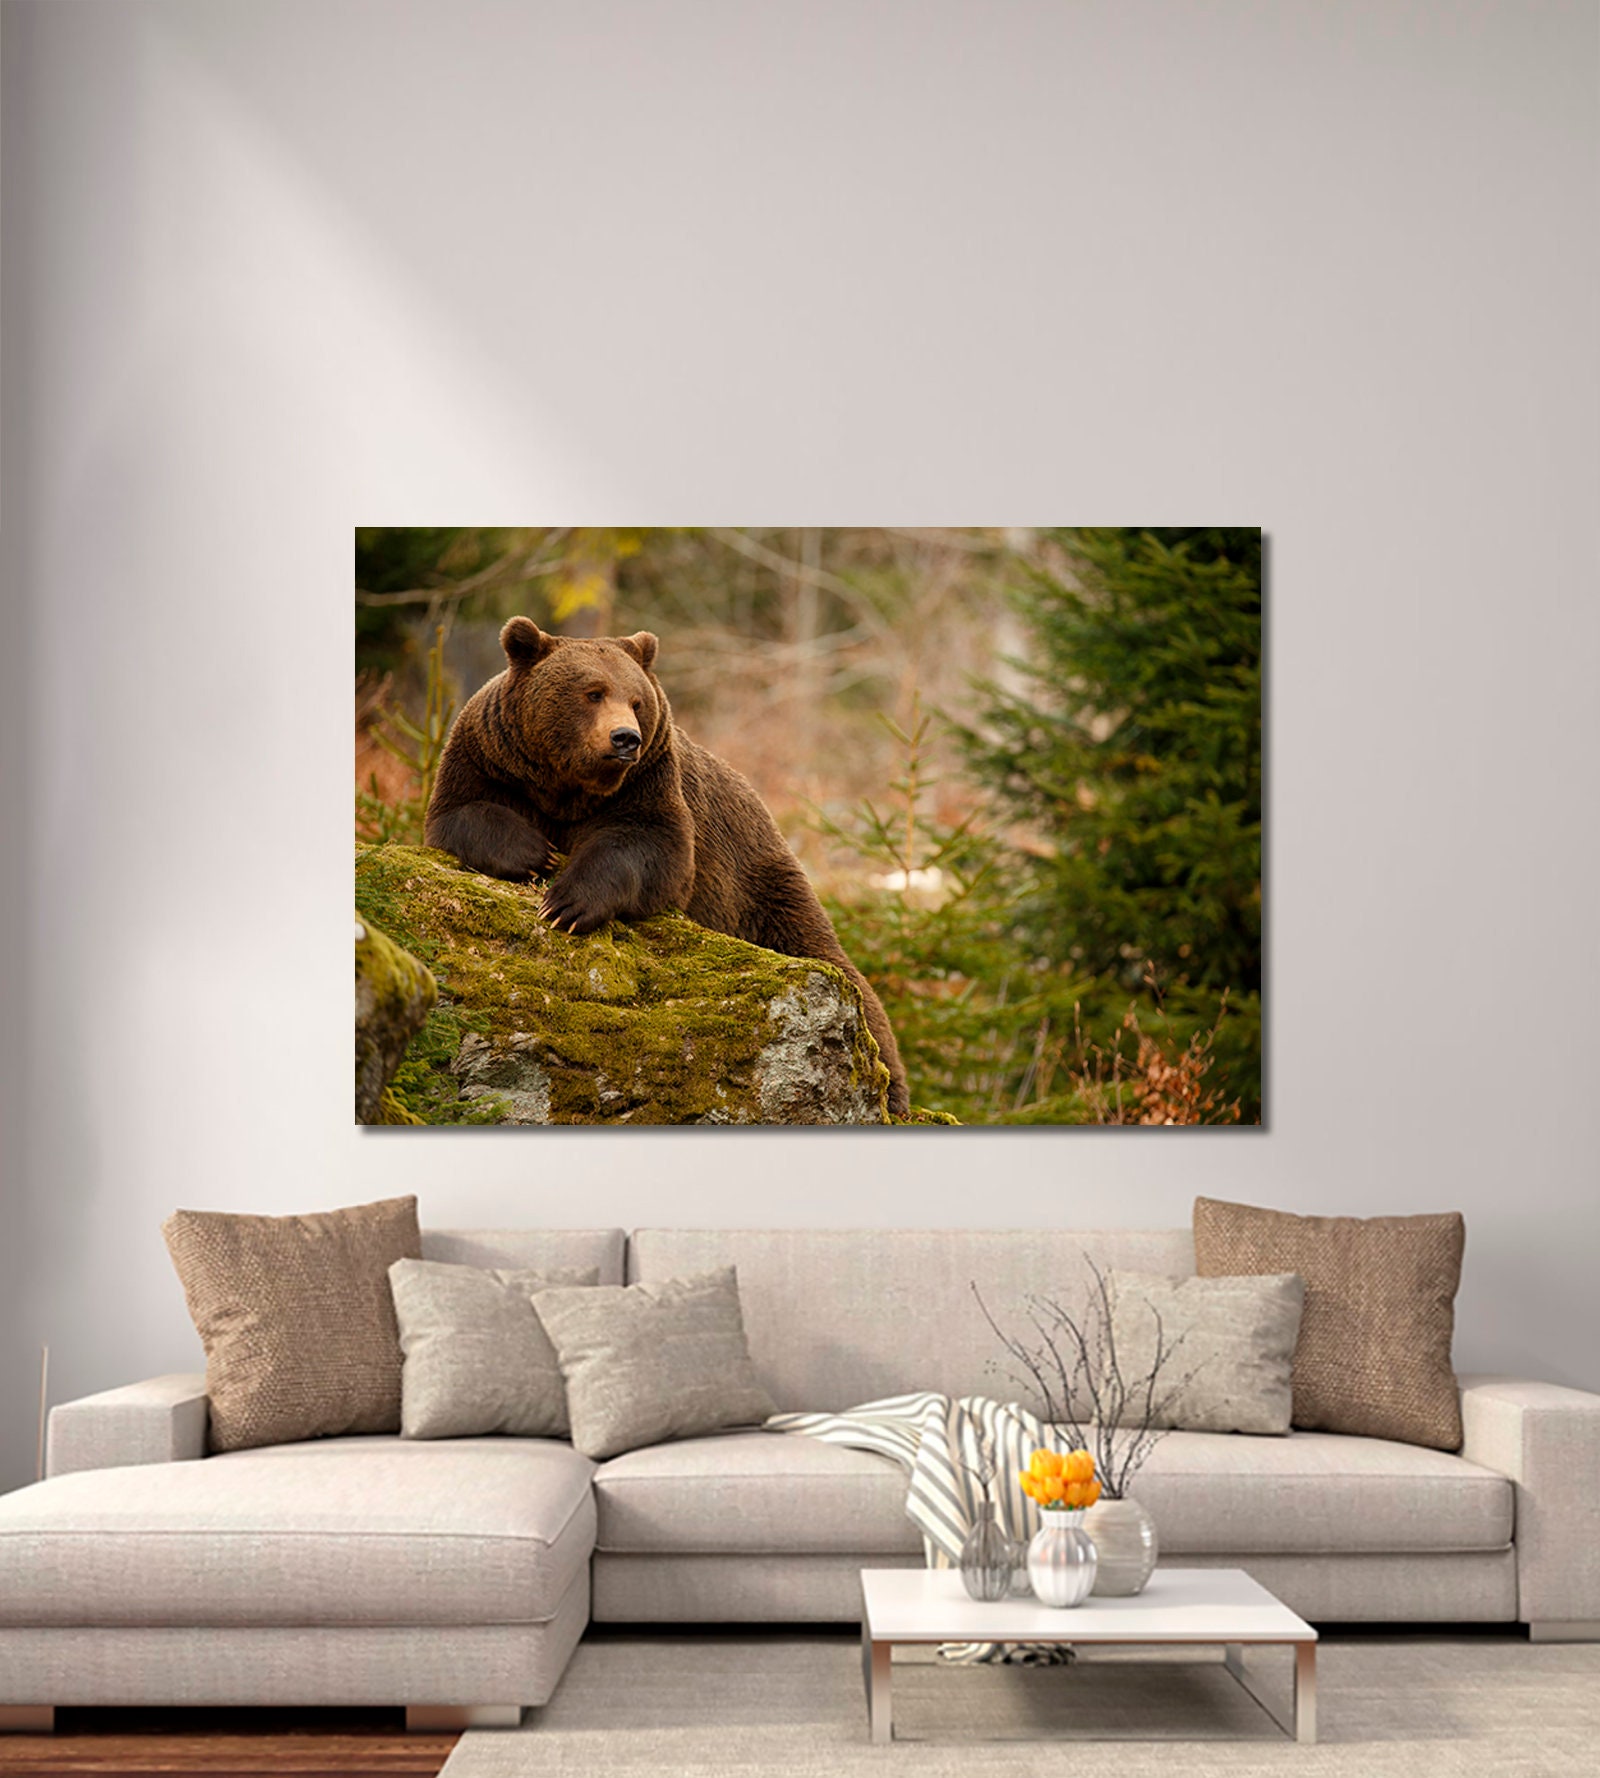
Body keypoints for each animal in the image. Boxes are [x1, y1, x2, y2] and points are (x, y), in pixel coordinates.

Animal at [424, 617, 910, 1117]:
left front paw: (567, 903)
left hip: (760, 885)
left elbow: (650, 849)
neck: (567, 788)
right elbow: (461, 813)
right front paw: (535, 853)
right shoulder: (489, 760)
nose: (625, 738)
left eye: (636, 701)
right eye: (593, 692)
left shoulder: (649, 784)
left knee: (837, 969)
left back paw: (890, 1088)